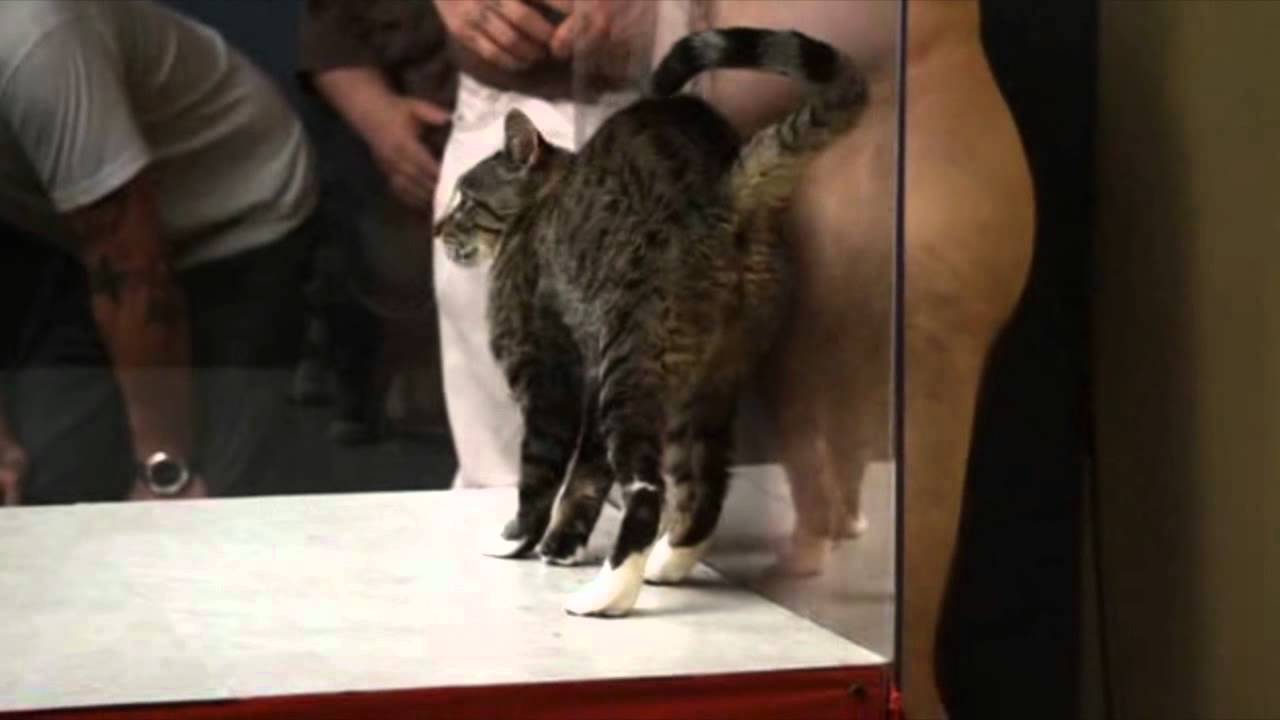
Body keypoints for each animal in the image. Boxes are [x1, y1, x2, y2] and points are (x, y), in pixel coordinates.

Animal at [433, 27, 868, 617]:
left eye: (465, 199)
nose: (436, 228)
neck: (539, 208)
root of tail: (722, 194)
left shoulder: (549, 378)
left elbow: (541, 475)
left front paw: (517, 539)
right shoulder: (591, 381)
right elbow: (586, 480)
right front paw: (562, 546)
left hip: (634, 365)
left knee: (646, 489)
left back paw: (609, 594)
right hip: (706, 381)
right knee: (706, 482)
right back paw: (669, 561)